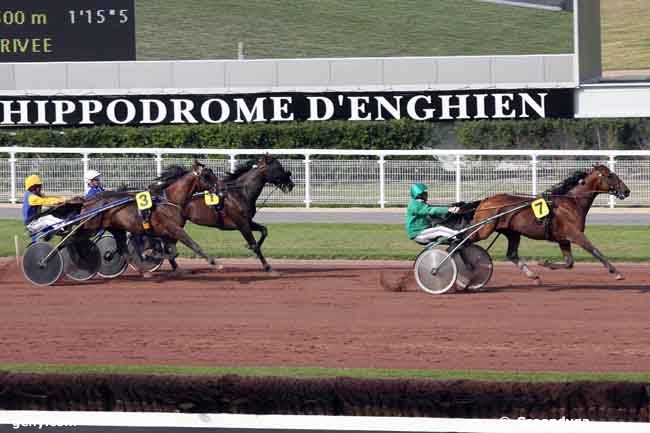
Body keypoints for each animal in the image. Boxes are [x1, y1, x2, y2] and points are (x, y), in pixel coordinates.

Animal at [466, 165, 628, 280]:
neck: (571, 203)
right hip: (483, 230)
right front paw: (616, 272)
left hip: (512, 232)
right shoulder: (575, 234)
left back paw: (532, 275)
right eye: (610, 175)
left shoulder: (563, 239)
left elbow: (569, 263)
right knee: (463, 241)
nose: (627, 191)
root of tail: (485, 201)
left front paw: (544, 263)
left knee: (511, 254)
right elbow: (595, 250)